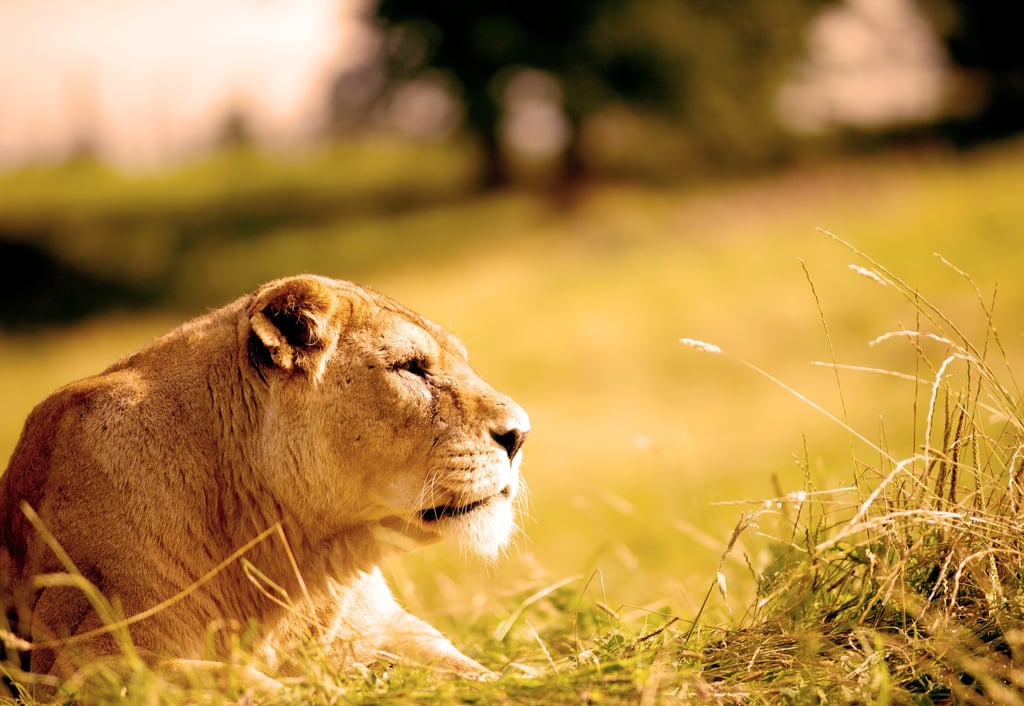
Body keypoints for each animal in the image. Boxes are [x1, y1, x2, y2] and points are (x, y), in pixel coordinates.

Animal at [0, 274, 529, 691]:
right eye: (411, 367)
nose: (521, 434)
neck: (295, 559)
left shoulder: (386, 628)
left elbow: (473, 669)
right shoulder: (83, 660)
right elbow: (240, 682)